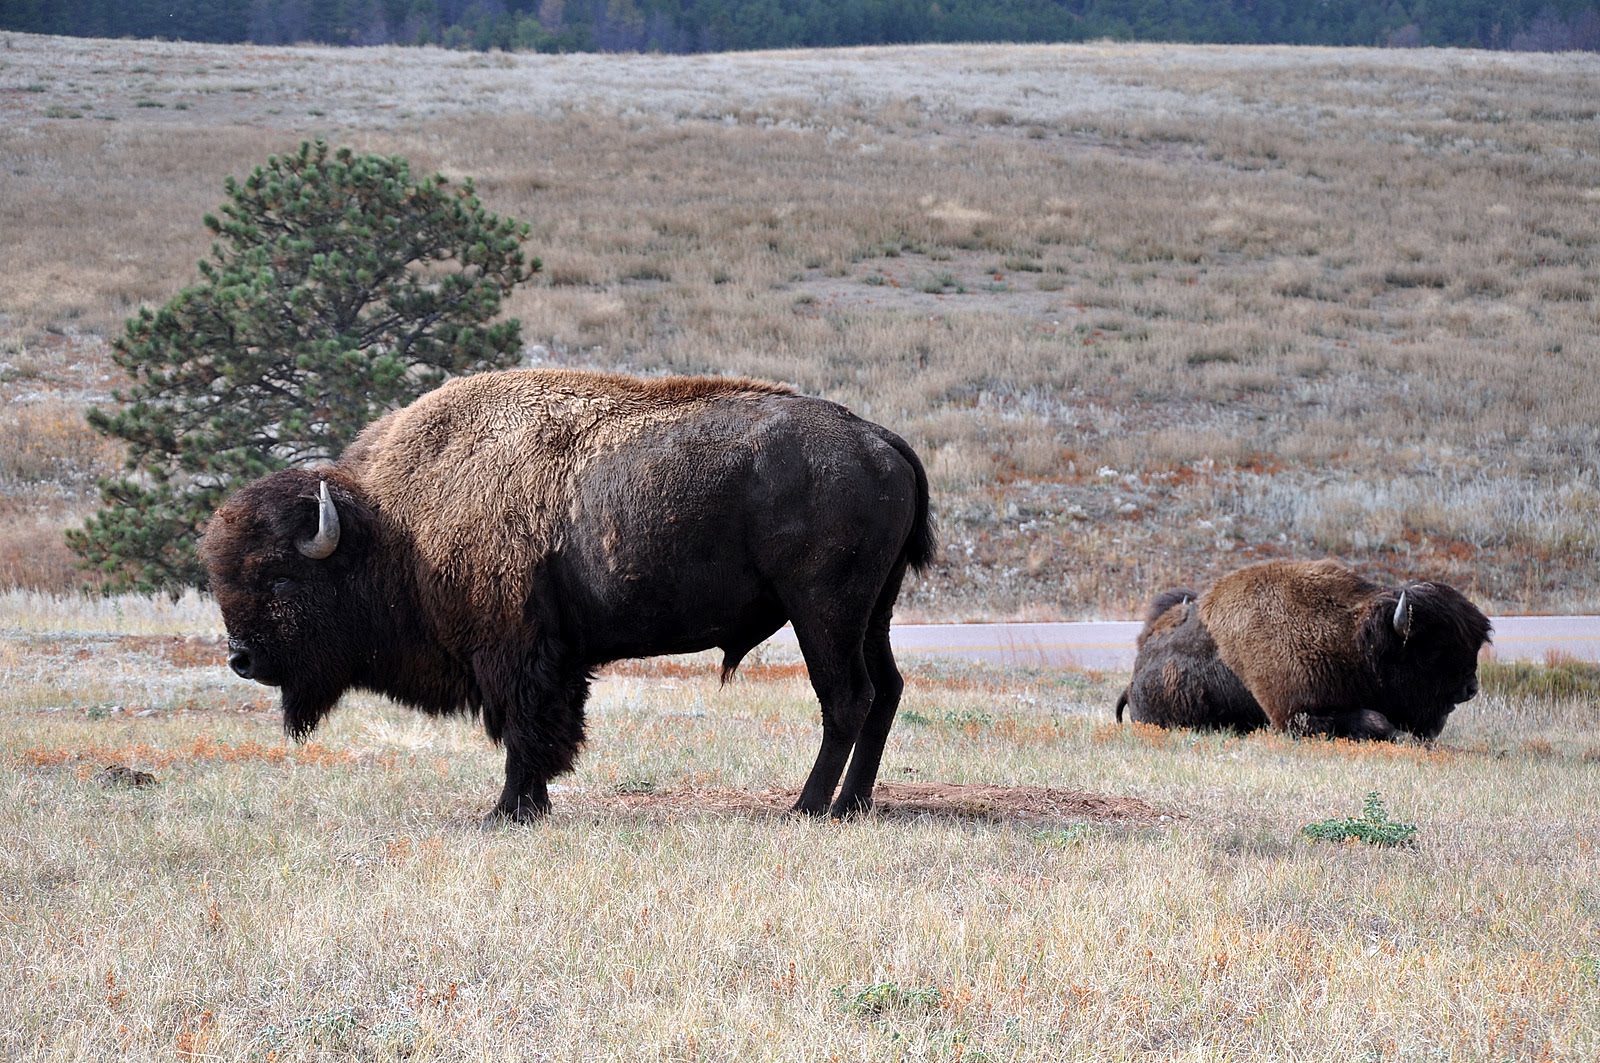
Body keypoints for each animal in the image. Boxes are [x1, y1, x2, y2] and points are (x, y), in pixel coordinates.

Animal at [202, 369, 934, 822]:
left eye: (280, 576)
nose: (241, 658)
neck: (394, 524)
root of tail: (880, 439)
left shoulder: (516, 654)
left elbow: (525, 730)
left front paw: (507, 810)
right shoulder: (557, 658)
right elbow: (548, 728)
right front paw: (531, 804)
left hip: (823, 611)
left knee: (847, 697)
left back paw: (810, 807)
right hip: (874, 611)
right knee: (885, 692)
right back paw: (852, 804)